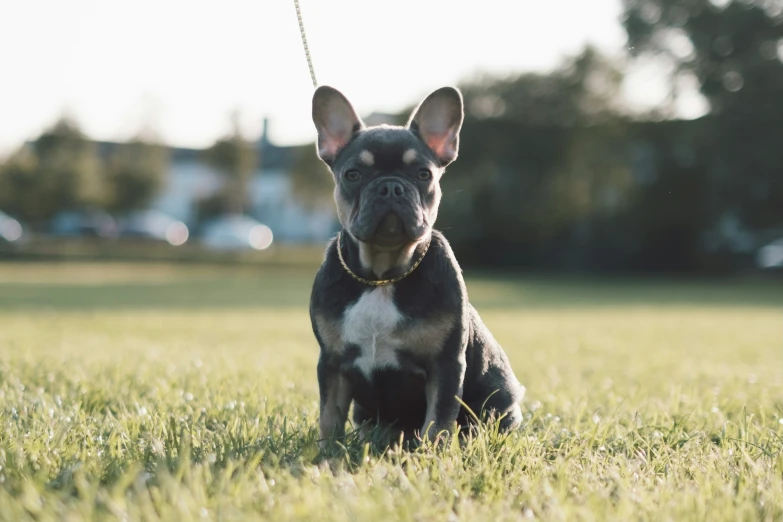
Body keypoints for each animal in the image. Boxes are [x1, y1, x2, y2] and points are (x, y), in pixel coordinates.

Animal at [310, 86, 524, 446]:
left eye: (424, 174)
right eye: (353, 174)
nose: (390, 185)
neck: (381, 277)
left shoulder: (446, 365)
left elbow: (438, 421)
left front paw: (433, 453)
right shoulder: (332, 363)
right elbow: (329, 417)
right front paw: (326, 451)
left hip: (498, 400)